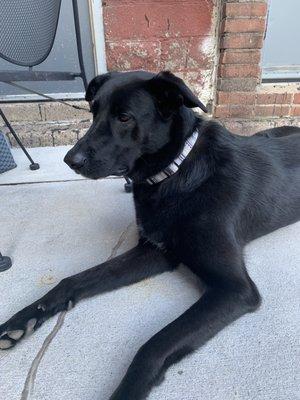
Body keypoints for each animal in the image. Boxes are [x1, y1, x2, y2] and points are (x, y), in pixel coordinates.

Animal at [0, 70, 300, 398]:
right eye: (94, 111)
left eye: (124, 117)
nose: (70, 160)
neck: (175, 174)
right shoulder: (154, 252)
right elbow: (72, 281)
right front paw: (24, 318)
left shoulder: (234, 288)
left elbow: (154, 345)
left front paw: (127, 390)